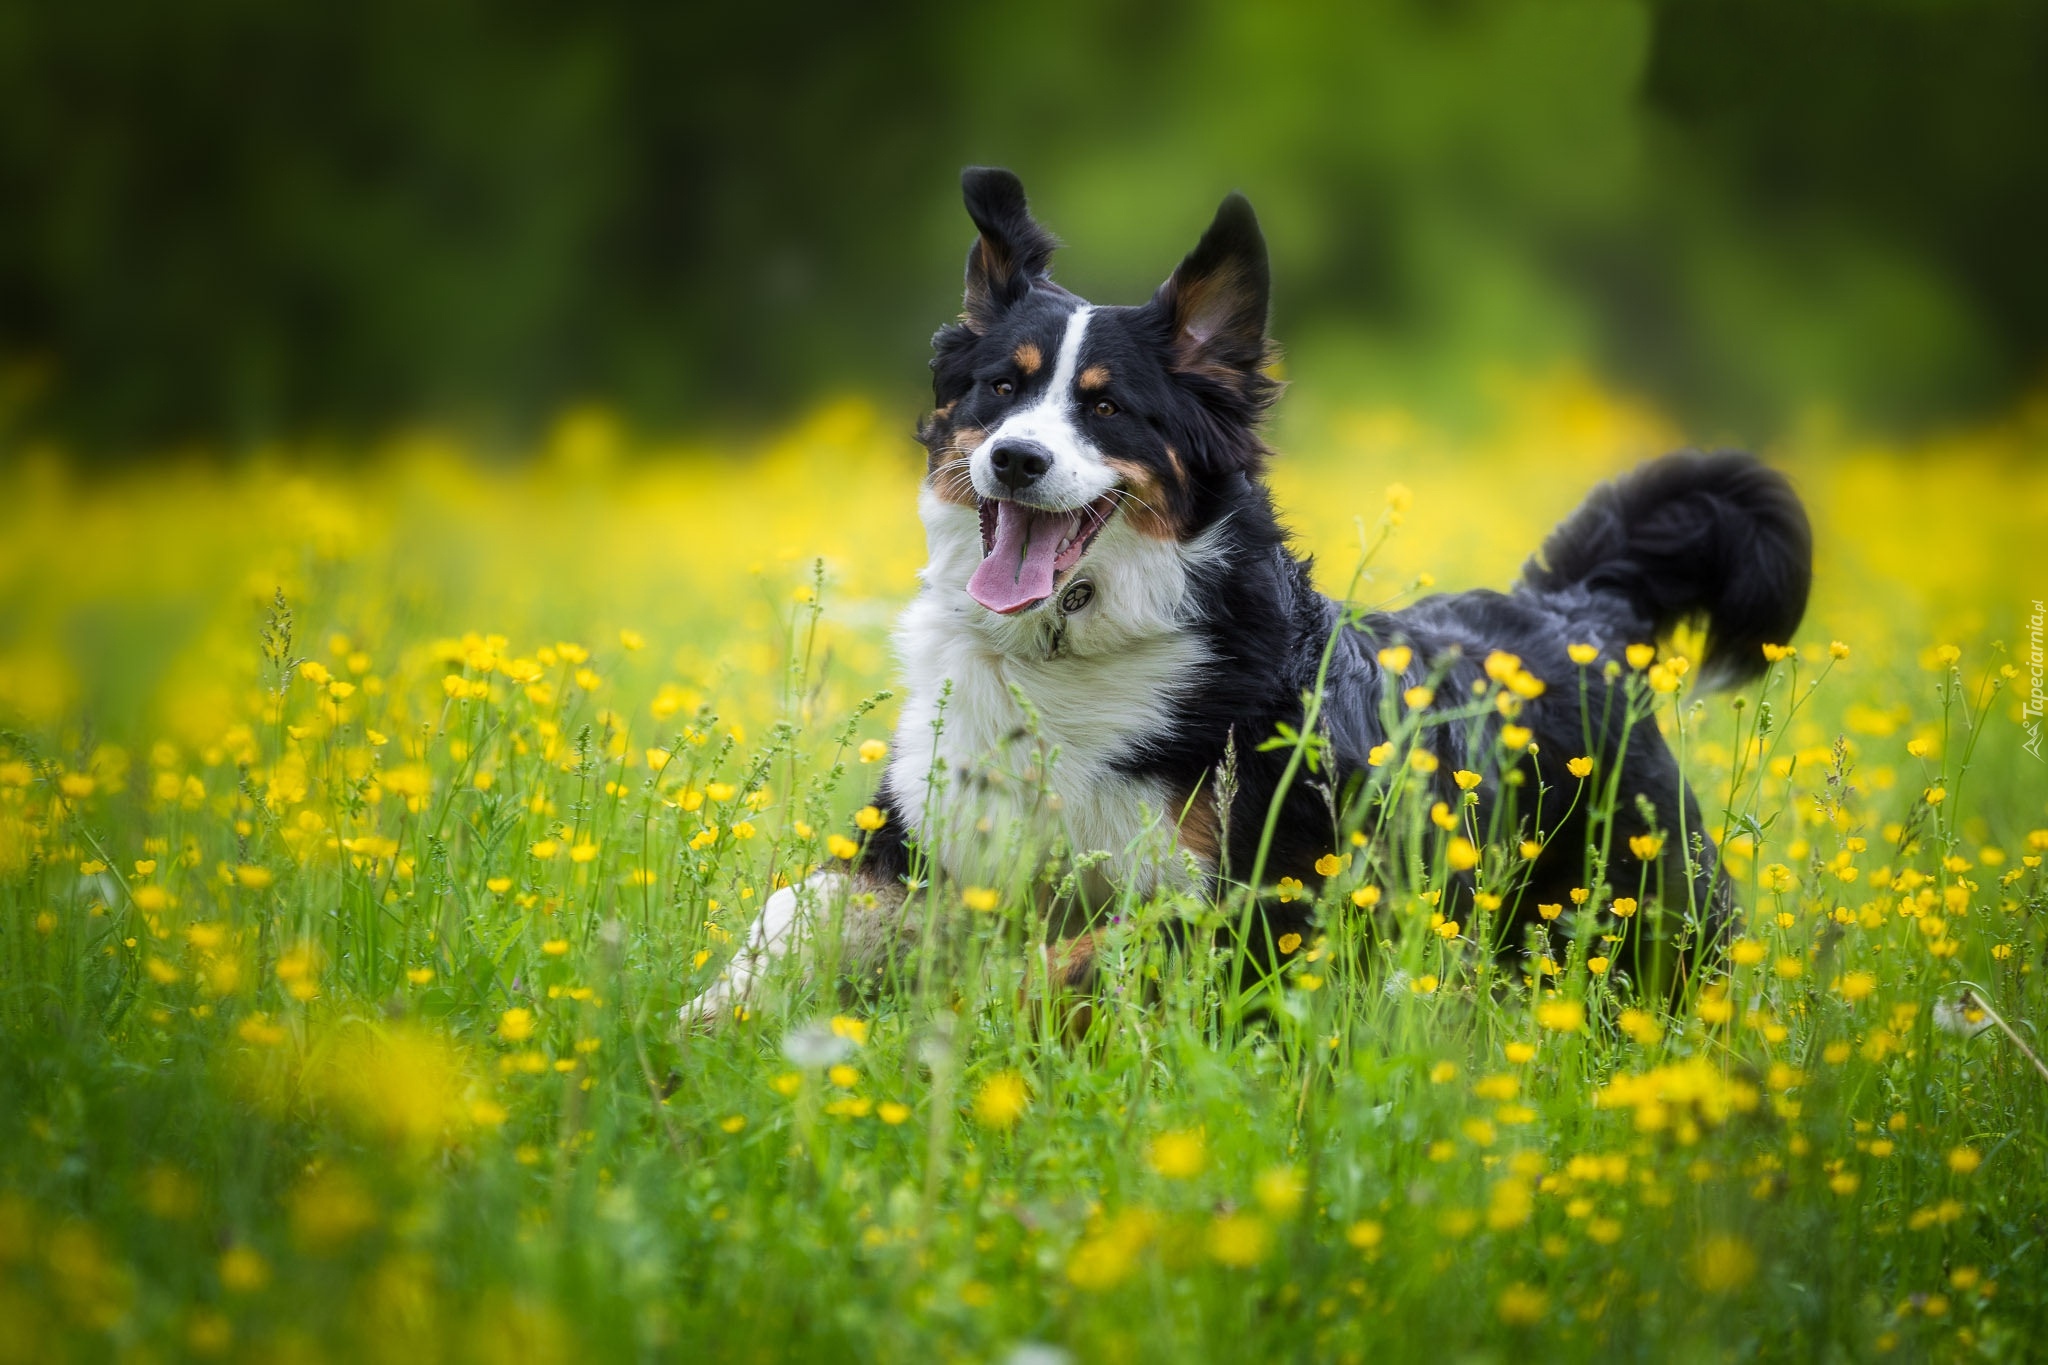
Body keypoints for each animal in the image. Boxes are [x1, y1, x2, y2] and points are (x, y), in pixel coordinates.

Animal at [688, 167, 1810, 1023]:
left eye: (1106, 408)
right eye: (999, 390)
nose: (1014, 460)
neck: (1070, 657)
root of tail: (1577, 610)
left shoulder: (1258, 898)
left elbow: (1073, 957)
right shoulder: (924, 841)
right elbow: (797, 911)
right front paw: (708, 1022)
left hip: (1648, 912)